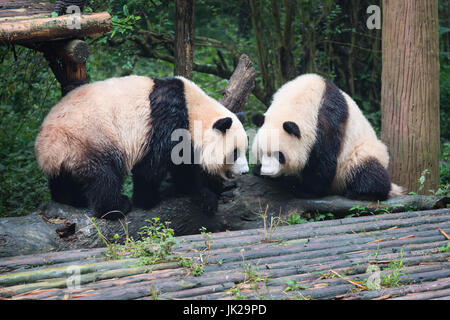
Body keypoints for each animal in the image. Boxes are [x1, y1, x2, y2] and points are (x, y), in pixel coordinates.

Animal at [35, 75, 250, 220]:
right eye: (235, 152)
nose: (245, 171)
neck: (194, 108)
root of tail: (47, 150)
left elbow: (183, 165)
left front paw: (204, 195)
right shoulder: (168, 118)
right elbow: (154, 164)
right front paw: (146, 200)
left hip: (69, 154)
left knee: (65, 180)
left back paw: (70, 199)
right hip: (89, 138)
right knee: (103, 175)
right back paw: (116, 206)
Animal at [251, 74, 402, 201]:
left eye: (279, 155)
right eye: (261, 152)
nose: (267, 171)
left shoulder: (327, 122)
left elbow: (323, 162)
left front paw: (305, 190)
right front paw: (258, 169)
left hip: (360, 153)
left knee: (367, 169)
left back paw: (361, 193)